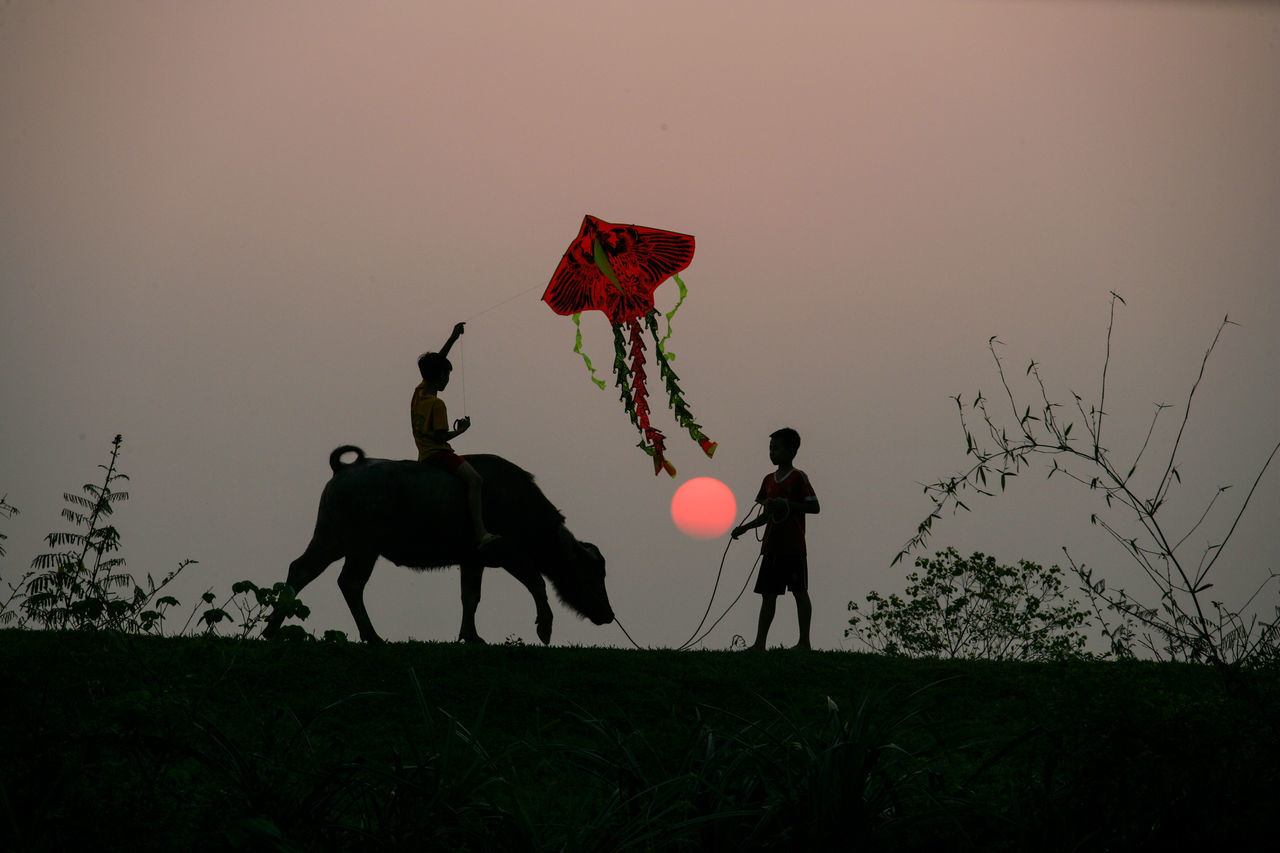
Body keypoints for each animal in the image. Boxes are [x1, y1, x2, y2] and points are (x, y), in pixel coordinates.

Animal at [262, 448, 611, 640]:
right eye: (592, 572)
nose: (608, 616)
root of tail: (344, 469)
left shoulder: (472, 561)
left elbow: (471, 597)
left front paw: (471, 636)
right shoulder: (510, 554)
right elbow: (537, 582)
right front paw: (544, 628)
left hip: (330, 539)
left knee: (301, 570)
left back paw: (271, 629)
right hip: (363, 548)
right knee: (350, 583)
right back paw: (372, 636)